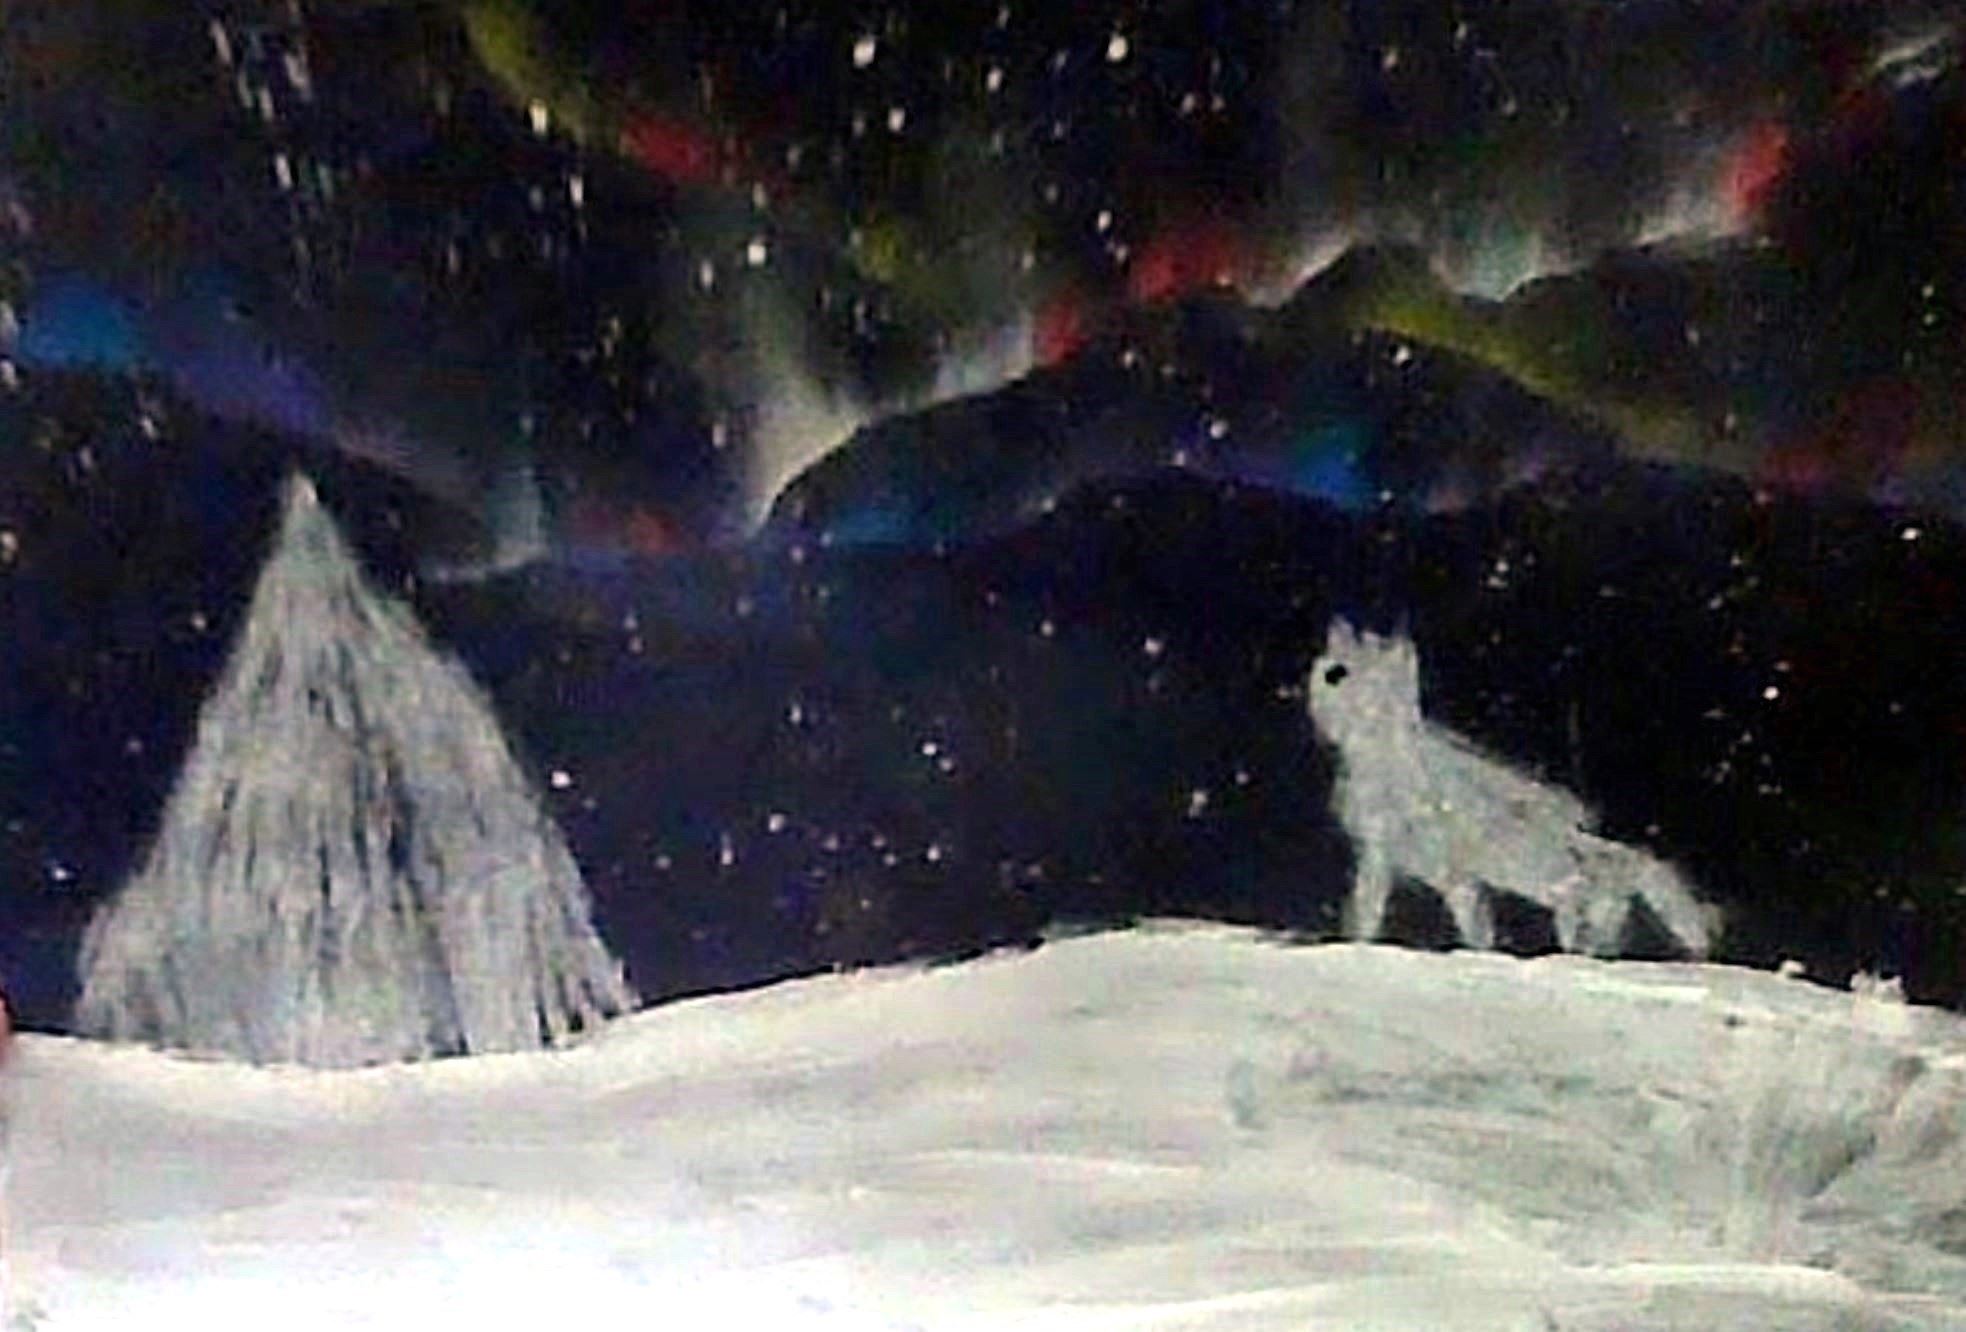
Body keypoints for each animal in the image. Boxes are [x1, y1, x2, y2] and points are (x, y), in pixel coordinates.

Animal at [1307, 619, 1718, 958]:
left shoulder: (1391, 852)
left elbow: (1370, 909)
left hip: (1544, 872)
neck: (1377, 748)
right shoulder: (1431, 869)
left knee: (1602, 897)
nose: (1342, 698)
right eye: (1333, 672)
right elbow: (1471, 925)